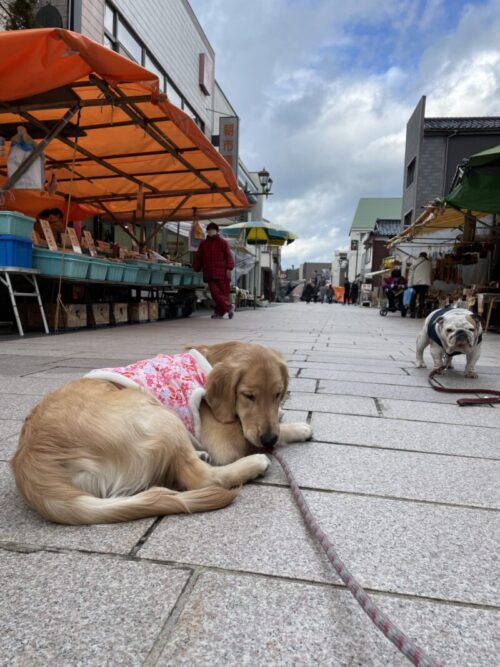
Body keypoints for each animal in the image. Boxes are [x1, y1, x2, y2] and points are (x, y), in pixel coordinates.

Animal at [11, 344, 312, 528]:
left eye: (278, 393)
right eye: (248, 396)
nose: (268, 440)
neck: (210, 360)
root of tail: (31, 465)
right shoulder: (225, 441)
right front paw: (299, 427)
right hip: (157, 414)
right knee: (201, 478)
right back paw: (254, 463)